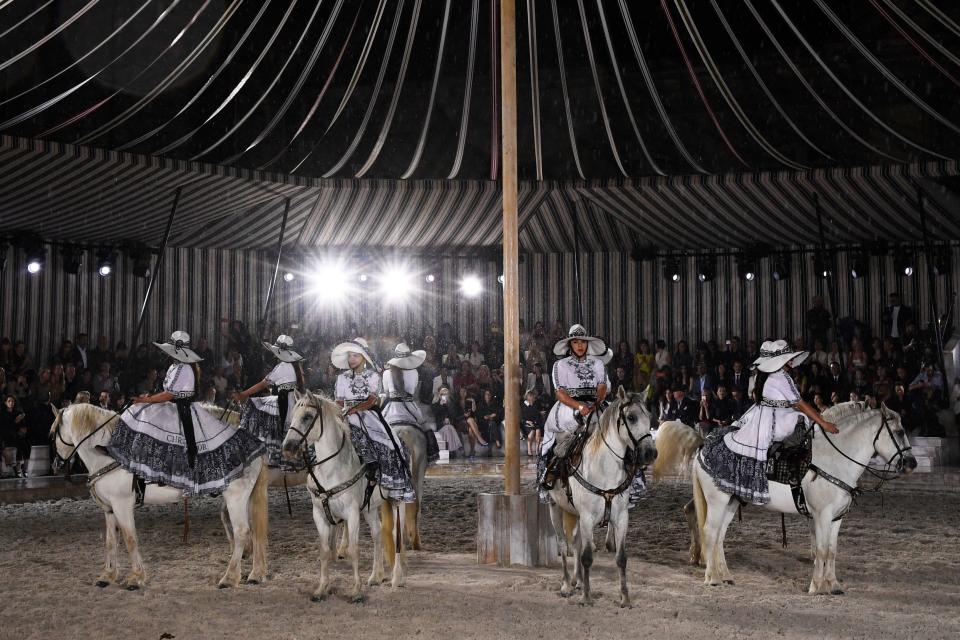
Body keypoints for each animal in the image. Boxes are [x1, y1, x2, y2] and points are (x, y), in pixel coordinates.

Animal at [52, 404, 270, 592]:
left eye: (53, 432)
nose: (56, 464)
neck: (106, 453)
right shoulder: (109, 509)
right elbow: (111, 541)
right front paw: (107, 576)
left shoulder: (122, 505)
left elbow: (130, 539)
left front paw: (136, 578)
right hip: (246, 499)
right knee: (254, 532)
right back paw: (255, 574)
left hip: (235, 498)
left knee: (242, 532)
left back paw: (229, 578)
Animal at [284, 388, 406, 604]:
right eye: (293, 415)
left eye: (307, 417)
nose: (288, 447)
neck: (332, 469)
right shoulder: (319, 513)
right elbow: (324, 551)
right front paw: (321, 589)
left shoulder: (352, 513)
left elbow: (353, 550)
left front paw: (356, 591)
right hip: (370, 508)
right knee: (377, 534)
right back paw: (376, 577)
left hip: (398, 501)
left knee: (395, 535)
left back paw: (396, 578)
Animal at [548, 388, 660, 608]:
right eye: (631, 417)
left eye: (650, 417)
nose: (650, 453)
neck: (603, 469)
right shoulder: (587, 517)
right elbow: (587, 557)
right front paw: (587, 597)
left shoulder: (621, 517)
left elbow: (621, 557)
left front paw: (625, 598)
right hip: (555, 507)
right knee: (563, 544)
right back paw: (566, 585)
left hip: (576, 515)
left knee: (576, 543)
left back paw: (578, 581)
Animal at [652, 402, 916, 592]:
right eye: (900, 431)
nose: (911, 463)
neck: (832, 460)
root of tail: (704, 446)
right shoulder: (821, 516)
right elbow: (821, 550)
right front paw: (816, 587)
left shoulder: (836, 518)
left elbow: (831, 551)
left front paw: (834, 585)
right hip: (717, 501)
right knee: (708, 531)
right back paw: (712, 578)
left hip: (731, 502)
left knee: (719, 536)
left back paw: (725, 575)